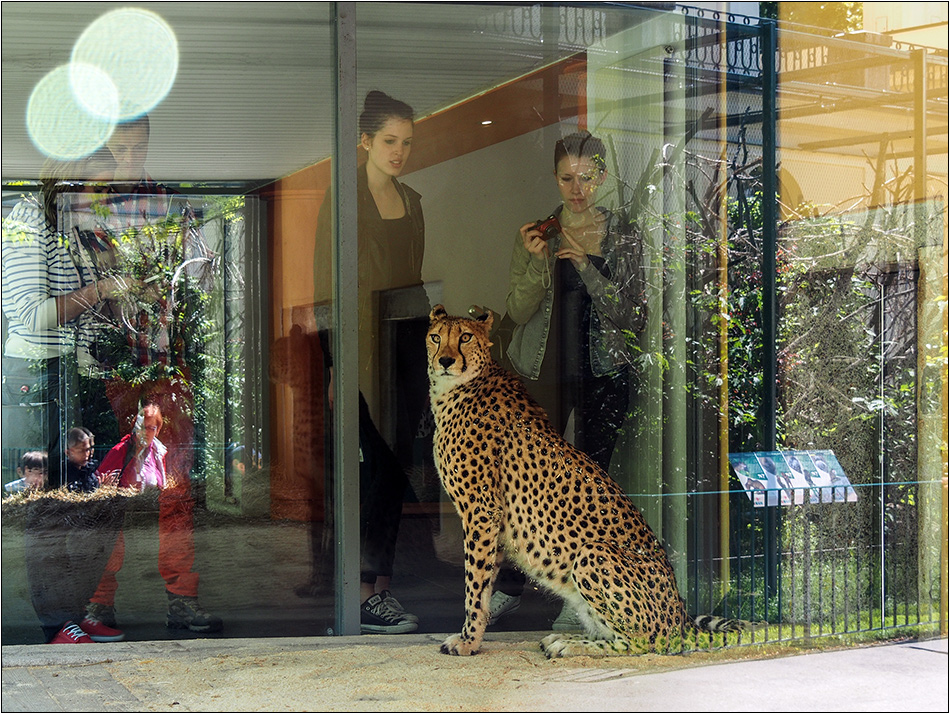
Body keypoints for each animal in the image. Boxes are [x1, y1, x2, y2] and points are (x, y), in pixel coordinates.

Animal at [428, 306, 756, 656]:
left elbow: (475, 585)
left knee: (642, 642)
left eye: (465, 337)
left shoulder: (482, 511)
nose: (445, 360)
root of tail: (680, 613)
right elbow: (485, 580)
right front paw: (474, 634)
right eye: (435, 337)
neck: (456, 389)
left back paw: (569, 645)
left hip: (592, 554)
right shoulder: (492, 520)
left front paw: (467, 641)